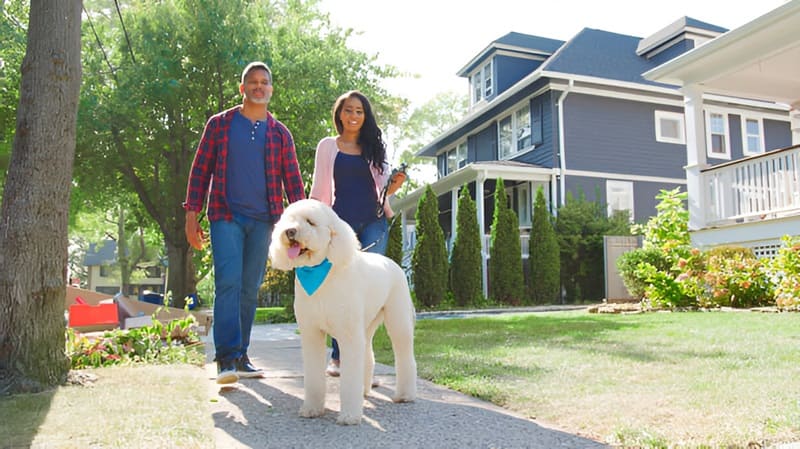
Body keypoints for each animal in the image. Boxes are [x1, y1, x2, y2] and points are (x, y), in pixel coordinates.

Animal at [270, 199, 418, 424]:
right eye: (288, 220)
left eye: (310, 222)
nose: (290, 231)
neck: (321, 275)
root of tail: (392, 263)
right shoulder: (311, 333)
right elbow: (313, 375)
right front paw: (312, 409)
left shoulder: (348, 335)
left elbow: (349, 378)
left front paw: (349, 416)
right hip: (366, 325)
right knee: (368, 355)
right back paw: (364, 390)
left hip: (398, 320)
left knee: (404, 355)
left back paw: (405, 395)